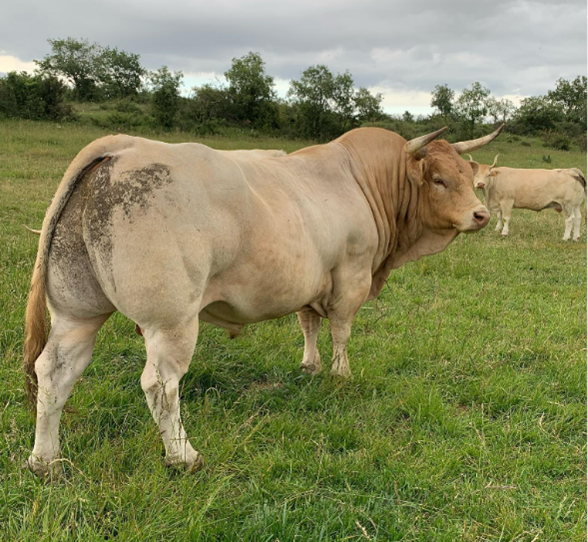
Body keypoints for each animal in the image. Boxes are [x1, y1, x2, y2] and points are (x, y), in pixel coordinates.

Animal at [23, 125, 500, 478]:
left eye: (468, 175)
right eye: (439, 179)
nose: (481, 215)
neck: (366, 182)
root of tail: (123, 146)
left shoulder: (311, 280)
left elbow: (309, 323)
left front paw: (309, 365)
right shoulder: (351, 275)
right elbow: (342, 330)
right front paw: (340, 374)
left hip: (76, 311)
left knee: (54, 372)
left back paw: (45, 461)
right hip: (170, 320)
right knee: (160, 385)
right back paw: (184, 457)